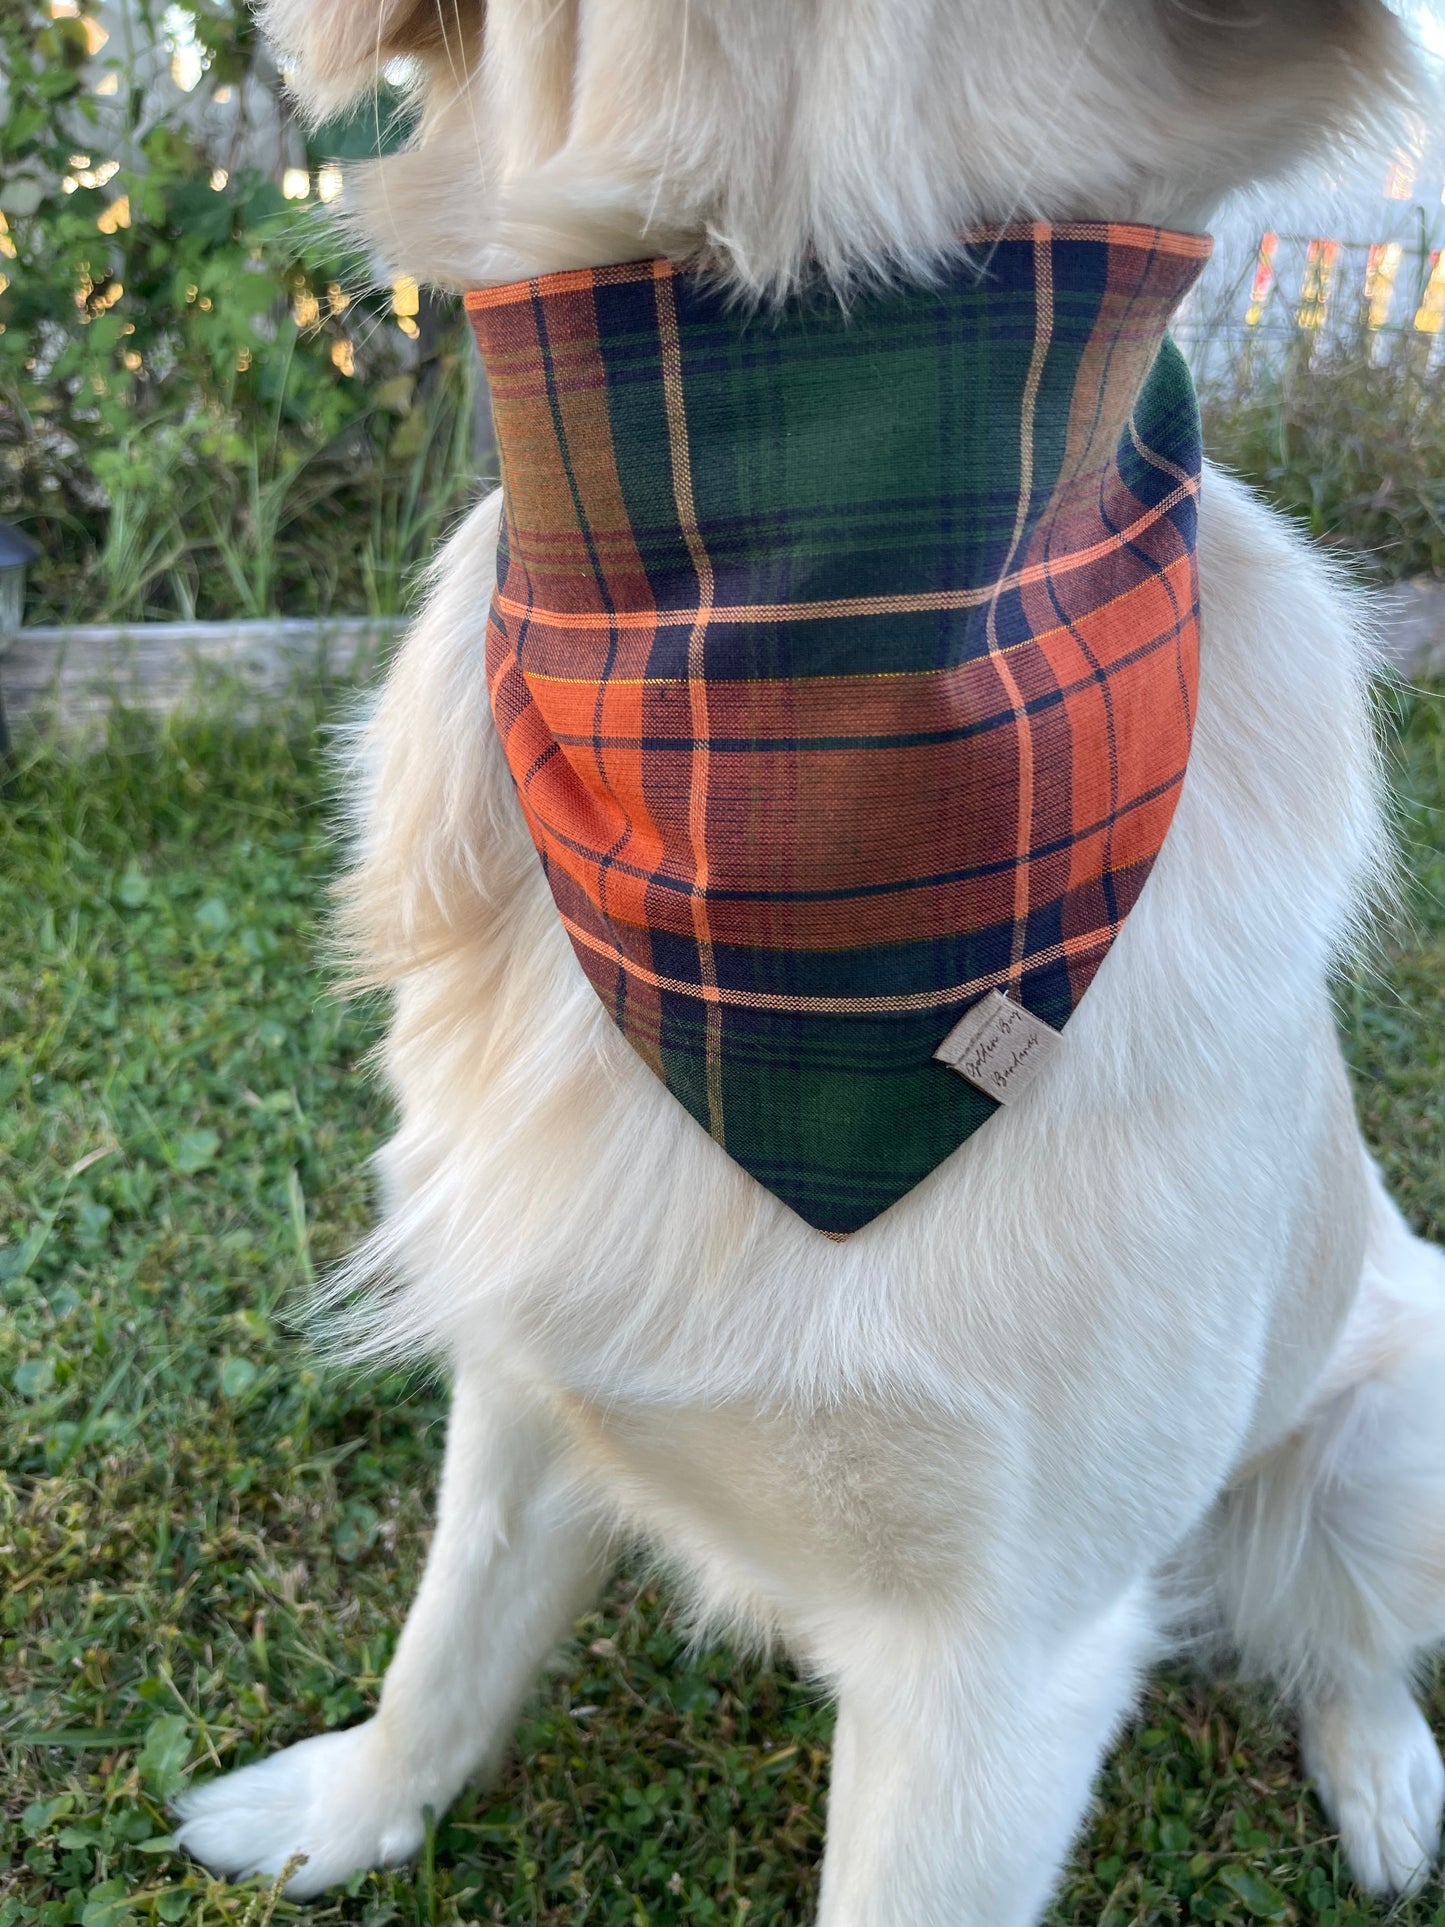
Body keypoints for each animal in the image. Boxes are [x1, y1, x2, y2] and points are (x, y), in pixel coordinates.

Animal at [175, 7, 1441, 1919]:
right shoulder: (527, 1367)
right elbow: (446, 1641)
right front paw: (348, 1811)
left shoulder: (1004, 1655)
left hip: (1393, 1403)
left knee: (1353, 1633)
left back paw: (1382, 1780)